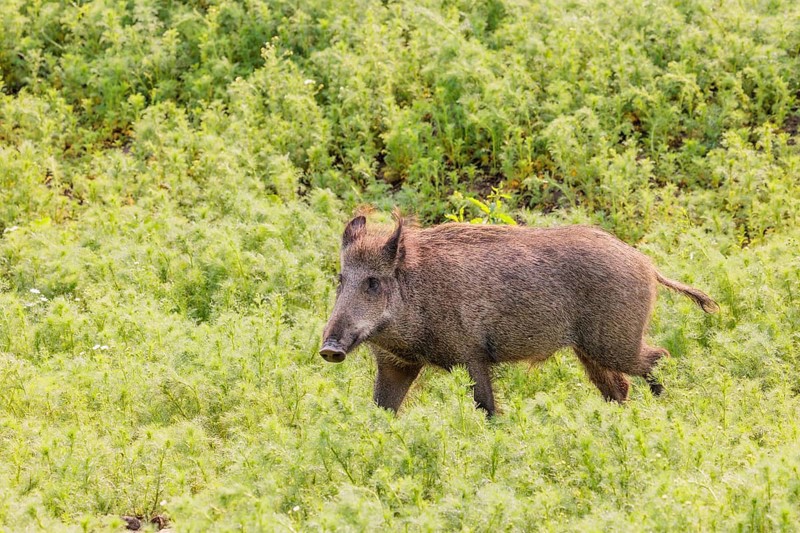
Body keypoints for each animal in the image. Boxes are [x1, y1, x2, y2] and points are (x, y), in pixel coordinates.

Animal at [319, 212, 719, 416]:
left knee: (657, 357)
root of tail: (647, 264)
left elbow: (486, 407)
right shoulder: (395, 364)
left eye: (373, 282)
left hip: (614, 342)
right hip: (589, 351)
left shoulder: (471, 357)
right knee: (618, 387)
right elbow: (381, 410)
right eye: (340, 279)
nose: (329, 348)